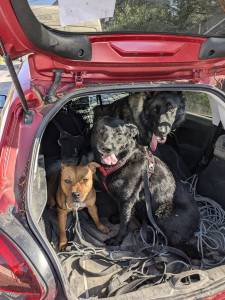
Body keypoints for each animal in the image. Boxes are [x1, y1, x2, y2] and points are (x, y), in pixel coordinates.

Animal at [91, 116, 199, 248]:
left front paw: (116, 241)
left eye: (119, 133)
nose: (106, 148)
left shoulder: (127, 201)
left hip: (161, 214)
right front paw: (117, 219)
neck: (124, 160)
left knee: (171, 240)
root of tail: (196, 227)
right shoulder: (124, 201)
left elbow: (124, 224)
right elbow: (123, 215)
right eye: (100, 130)